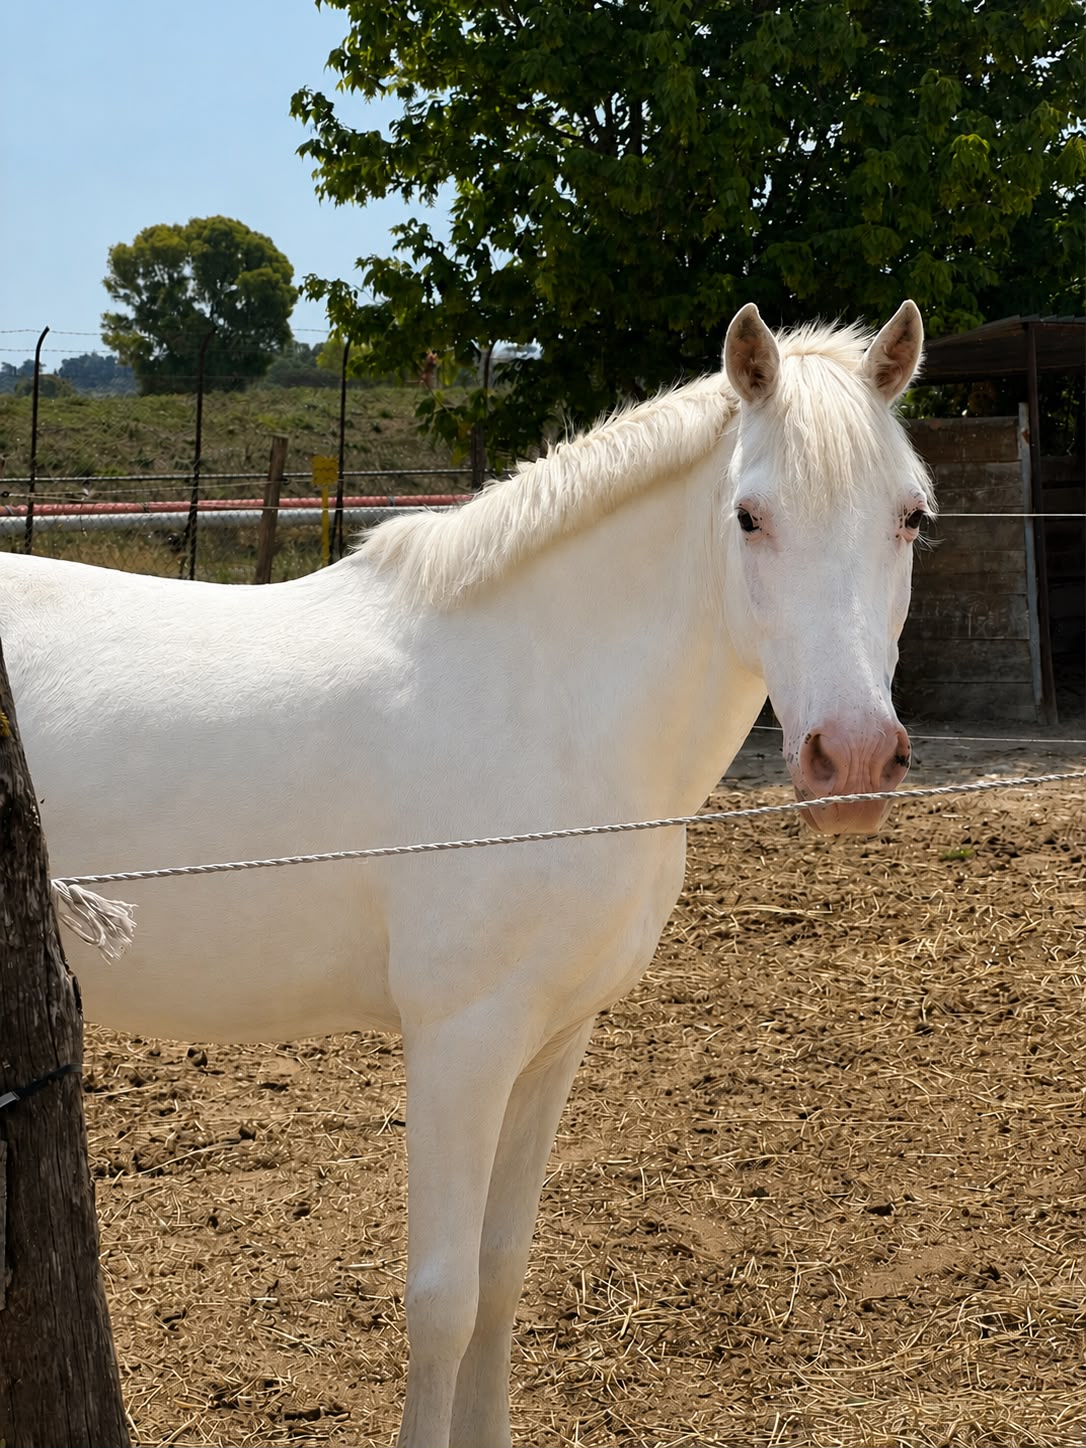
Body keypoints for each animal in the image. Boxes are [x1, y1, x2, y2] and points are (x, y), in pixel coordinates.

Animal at [0, 302, 931, 1448]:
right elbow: (442, 1298)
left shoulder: (552, 1040)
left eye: (912, 517)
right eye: (750, 517)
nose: (854, 758)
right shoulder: (462, 1043)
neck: (543, 703)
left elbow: (500, 1274)